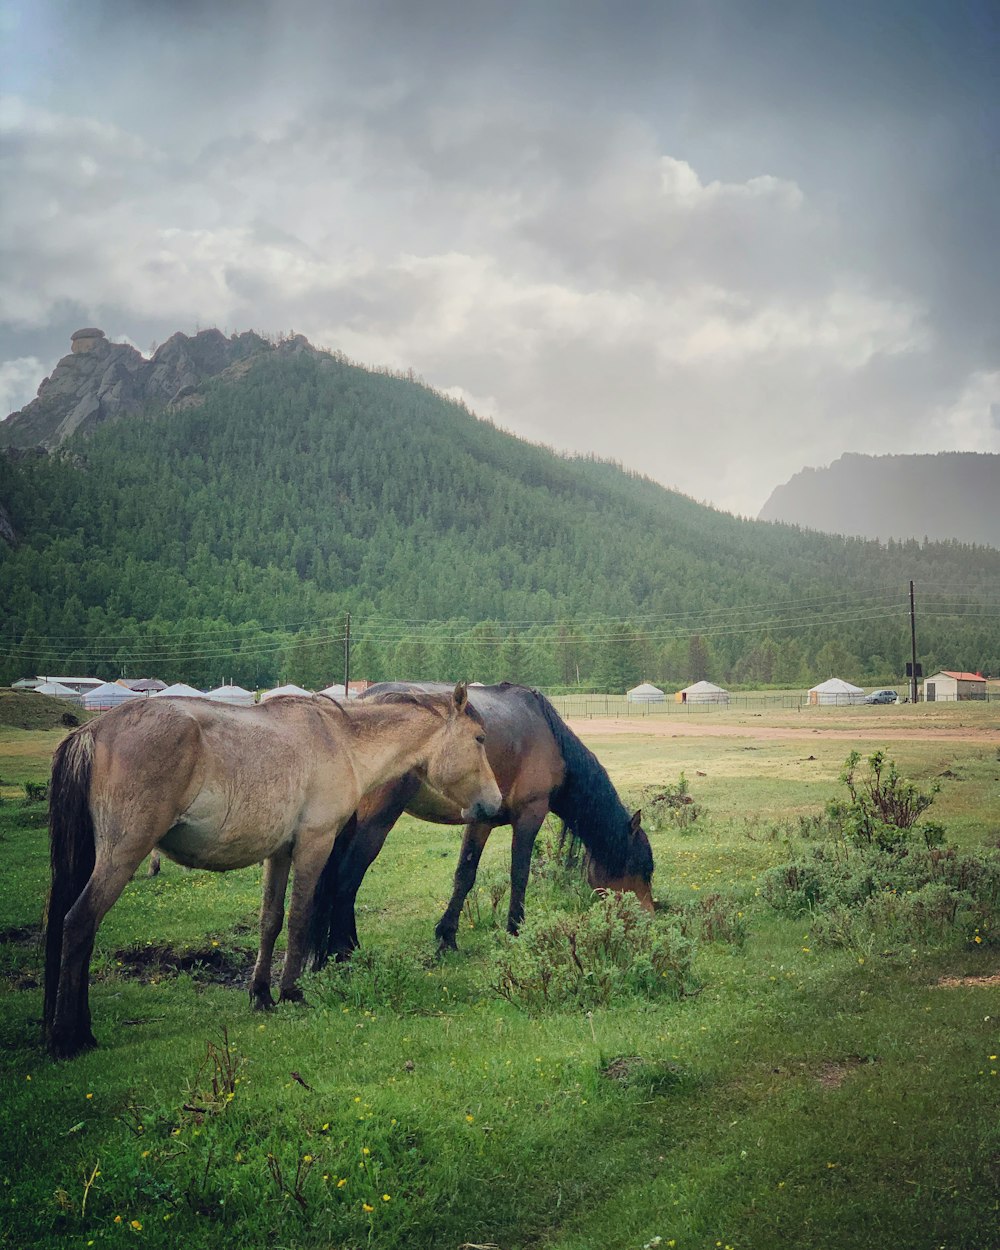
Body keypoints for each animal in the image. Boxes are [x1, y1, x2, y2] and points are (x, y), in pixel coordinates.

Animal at [45, 685, 500, 1055]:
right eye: (479, 739)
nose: (494, 805)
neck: (341, 741)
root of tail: (93, 731)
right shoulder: (314, 844)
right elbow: (300, 918)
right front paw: (291, 991)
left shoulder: (279, 853)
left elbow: (271, 920)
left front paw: (261, 994)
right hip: (123, 853)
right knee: (80, 923)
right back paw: (70, 1037)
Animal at [312, 685, 655, 955]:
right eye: (643, 868)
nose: (650, 915)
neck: (549, 736)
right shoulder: (531, 814)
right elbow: (519, 873)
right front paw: (515, 929)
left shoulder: (481, 820)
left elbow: (465, 875)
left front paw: (447, 937)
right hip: (376, 822)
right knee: (348, 878)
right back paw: (346, 952)